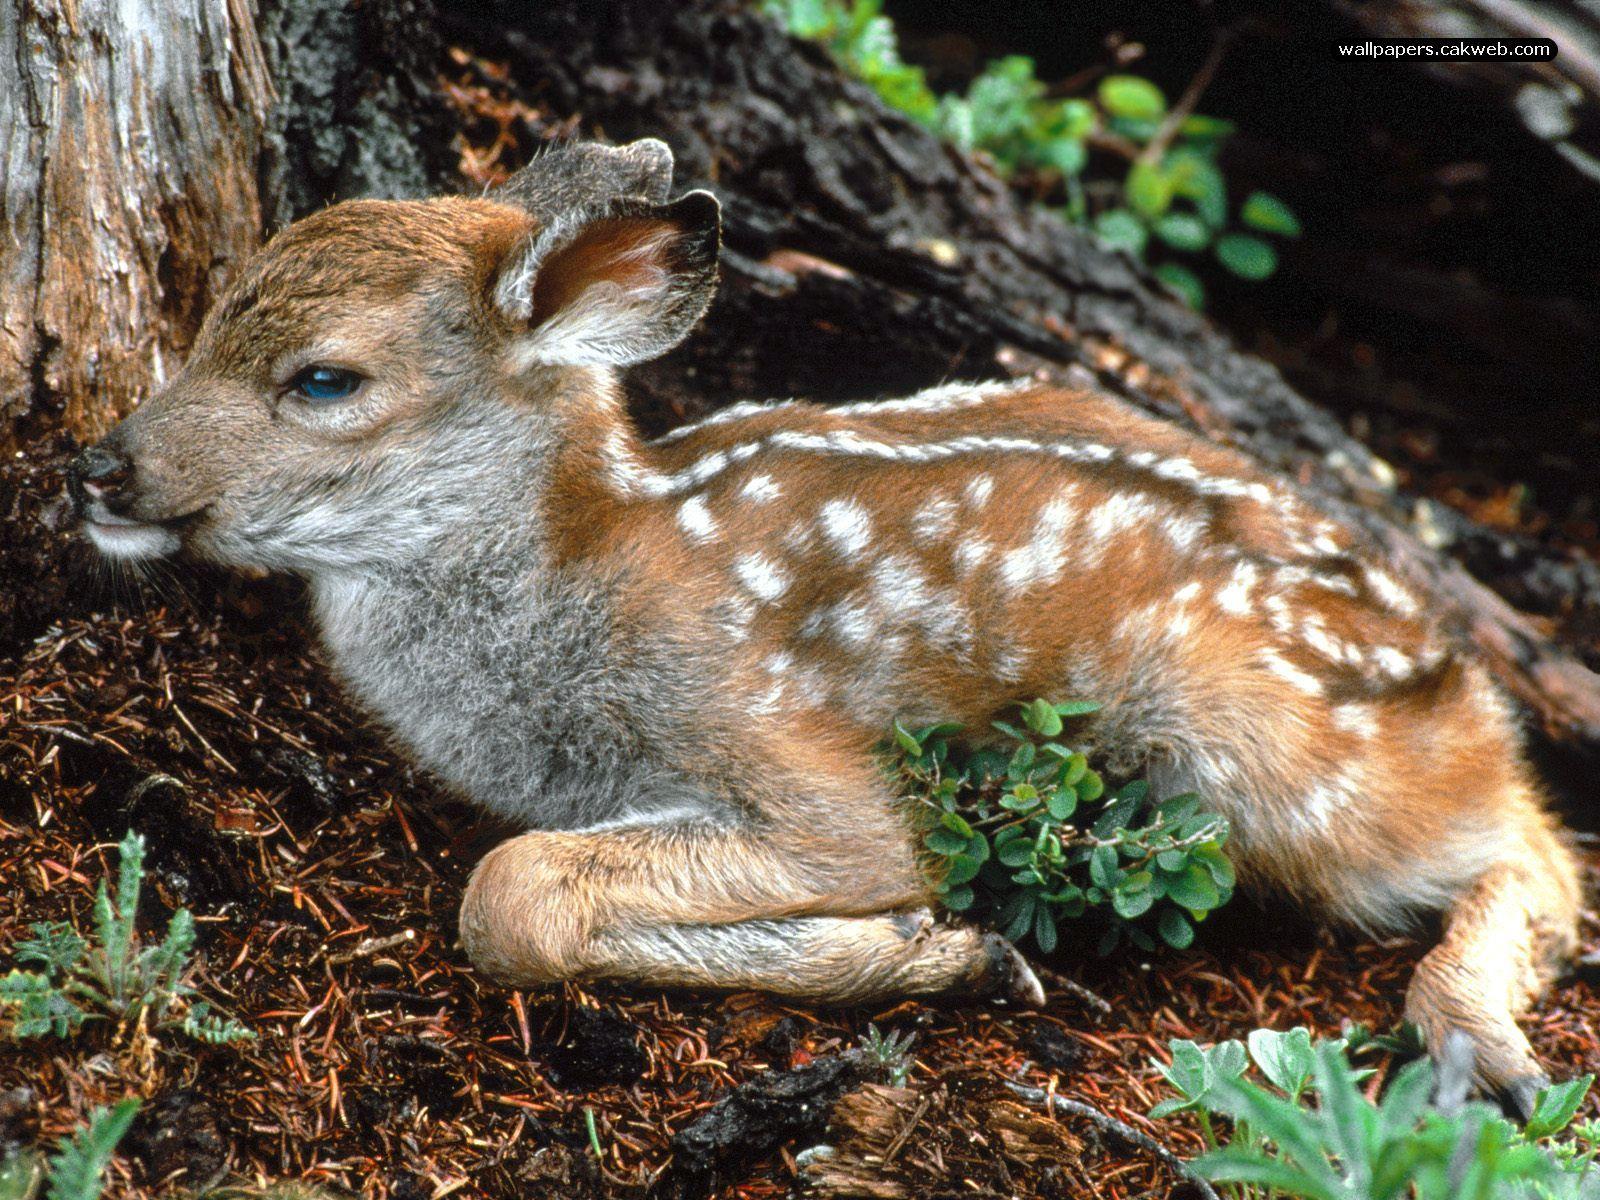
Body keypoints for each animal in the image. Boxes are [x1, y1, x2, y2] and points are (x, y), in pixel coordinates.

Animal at [66, 137, 1579, 1113]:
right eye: (207, 315)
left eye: (325, 380)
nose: (99, 469)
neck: (581, 574)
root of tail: (1456, 677)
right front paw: (954, 954)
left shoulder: (793, 757)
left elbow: (516, 893)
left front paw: (944, 949)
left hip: (1247, 737)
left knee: (1533, 843)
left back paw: (1482, 1044)